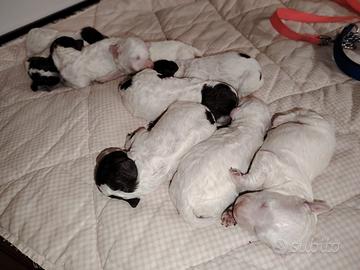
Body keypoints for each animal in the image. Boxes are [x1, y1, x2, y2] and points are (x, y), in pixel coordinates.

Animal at [221, 107, 336, 253]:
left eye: (257, 233)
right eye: (265, 204)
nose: (237, 207)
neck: (289, 189)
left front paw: (230, 213)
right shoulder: (267, 159)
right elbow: (253, 180)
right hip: (315, 121)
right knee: (298, 115)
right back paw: (278, 120)